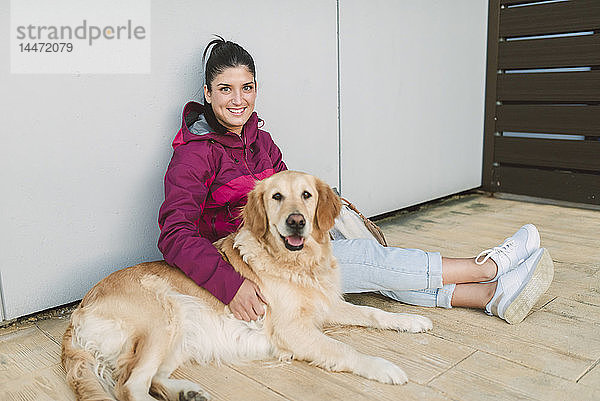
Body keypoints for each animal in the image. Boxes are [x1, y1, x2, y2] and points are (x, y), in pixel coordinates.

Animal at [62, 171, 432, 400]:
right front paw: (384, 367)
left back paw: (188, 392)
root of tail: (79, 310)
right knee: (130, 387)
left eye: (307, 195)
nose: (296, 222)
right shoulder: (292, 331)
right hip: (162, 317)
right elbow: (345, 350)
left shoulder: (326, 305)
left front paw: (410, 320)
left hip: (179, 333)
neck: (297, 264)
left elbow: (372, 313)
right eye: (277, 197)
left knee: (151, 379)